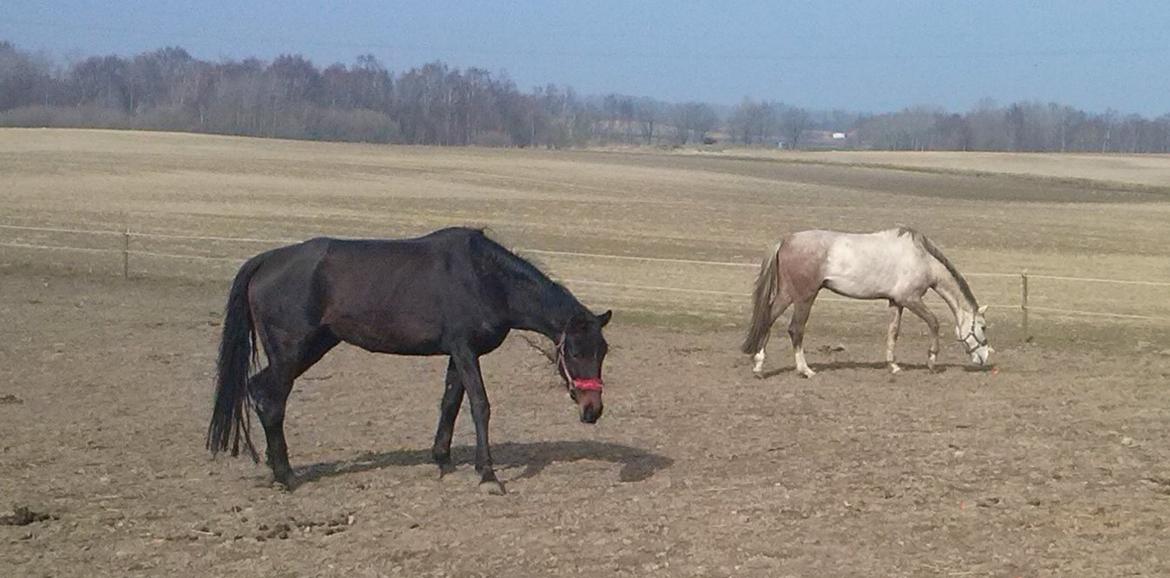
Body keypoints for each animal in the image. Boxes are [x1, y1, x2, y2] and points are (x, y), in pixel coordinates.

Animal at [204, 225, 613, 491]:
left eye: (603, 351)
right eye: (574, 351)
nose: (592, 410)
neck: (484, 278)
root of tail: (267, 260)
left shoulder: (457, 353)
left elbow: (450, 402)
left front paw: (443, 460)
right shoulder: (465, 350)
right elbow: (479, 405)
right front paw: (488, 475)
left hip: (314, 346)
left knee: (259, 390)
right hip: (293, 351)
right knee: (270, 399)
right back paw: (286, 475)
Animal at [739, 228, 987, 376]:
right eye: (983, 327)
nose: (984, 358)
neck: (922, 258)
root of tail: (785, 240)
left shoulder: (896, 302)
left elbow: (893, 332)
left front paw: (893, 365)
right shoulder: (911, 299)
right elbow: (934, 322)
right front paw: (932, 361)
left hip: (787, 294)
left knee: (768, 320)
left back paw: (759, 365)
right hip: (804, 296)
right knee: (795, 329)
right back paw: (805, 370)